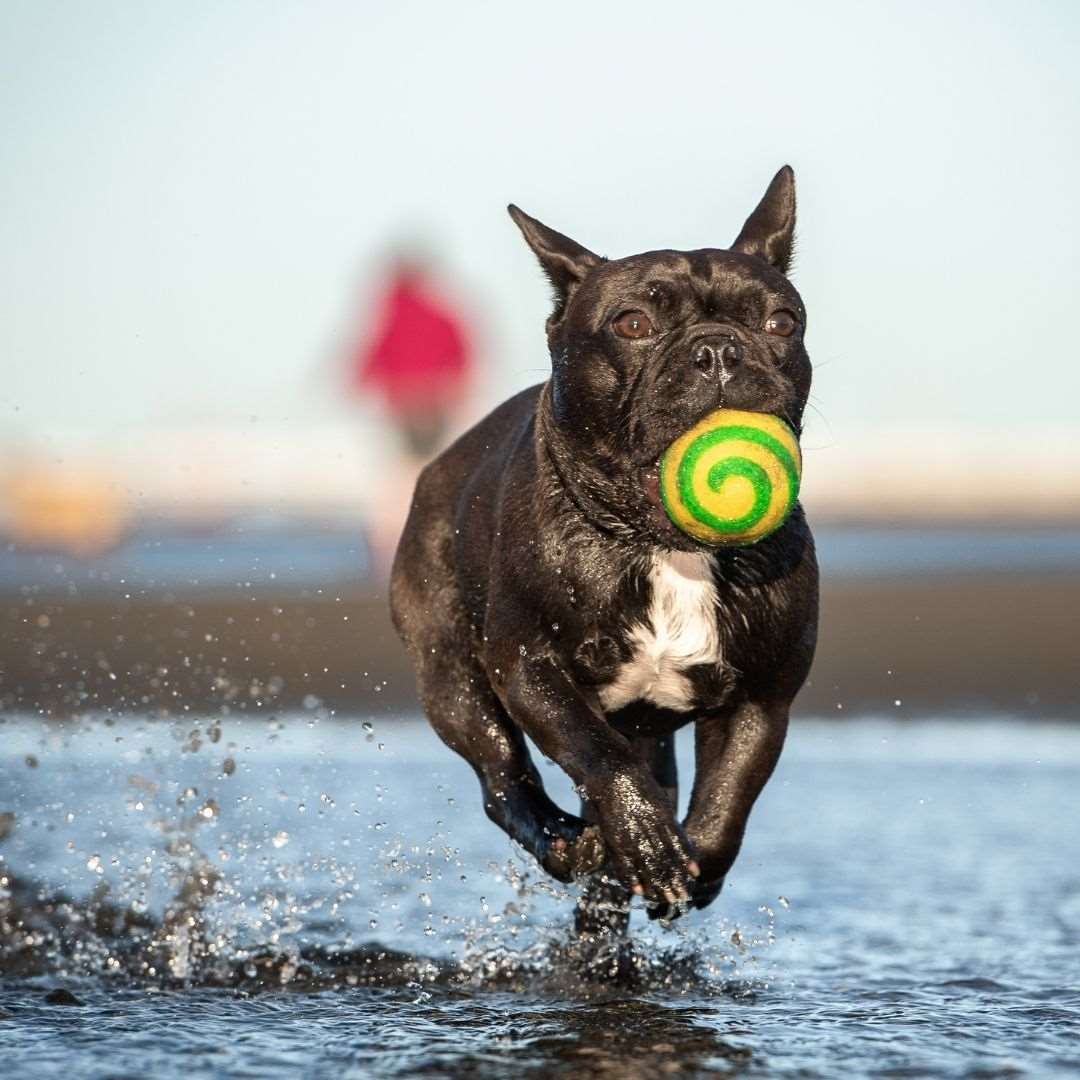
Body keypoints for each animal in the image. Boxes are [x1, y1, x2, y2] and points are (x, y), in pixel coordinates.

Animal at [390, 166, 816, 928]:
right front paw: (645, 841)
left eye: (781, 323)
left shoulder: (762, 701)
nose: (718, 349)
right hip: (450, 673)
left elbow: (730, 795)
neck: (669, 549)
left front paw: (692, 863)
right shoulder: (529, 668)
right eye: (633, 325)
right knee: (502, 774)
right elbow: (594, 752)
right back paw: (568, 842)